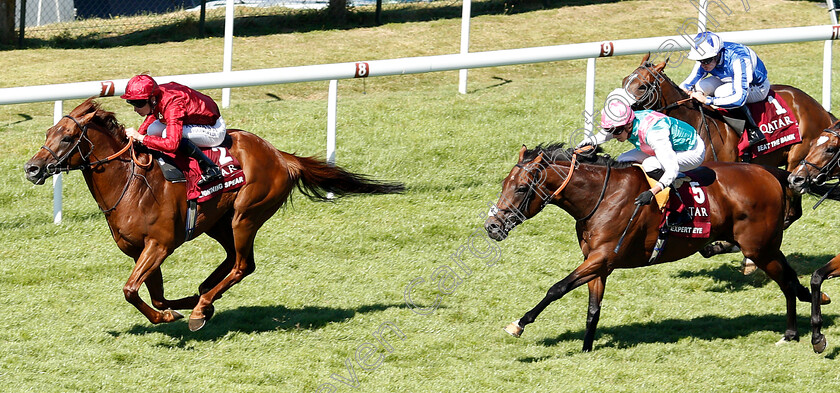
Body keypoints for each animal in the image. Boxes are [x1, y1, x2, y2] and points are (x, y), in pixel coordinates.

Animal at [24, 96, 406, 330]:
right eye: (49, 131)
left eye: (67, 136)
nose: (31, 168)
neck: (131, 184)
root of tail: (281, 156)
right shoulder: (139, 250)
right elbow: (154, 293)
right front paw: (173, 308)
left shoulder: (160, 244)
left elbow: (131, 290)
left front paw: (170, 316)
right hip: (219, 222)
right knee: (231, 260)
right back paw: (202, 297)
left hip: (246, 215)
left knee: (242, 265)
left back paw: (201, 306)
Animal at [486, 144, 828, 352]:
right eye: (504, 183)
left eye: (521, 188)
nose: (492, 226)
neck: (601, 196)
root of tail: (770, 172)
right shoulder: (598, 262)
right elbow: (593, 309)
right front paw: (586, 348)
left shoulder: (602, 257)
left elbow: (556, 288)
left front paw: (519, 324)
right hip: (766, 245)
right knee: (790, 276)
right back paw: (815, 299)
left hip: (758, 248)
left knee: (785, 283)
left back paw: (791, 333)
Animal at [620, 53, 836, 228]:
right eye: (624, 81)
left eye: (641, 86)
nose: (619, 111)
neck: (695, 122)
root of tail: (821, 110)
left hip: (796, 163)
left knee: (793, 209)